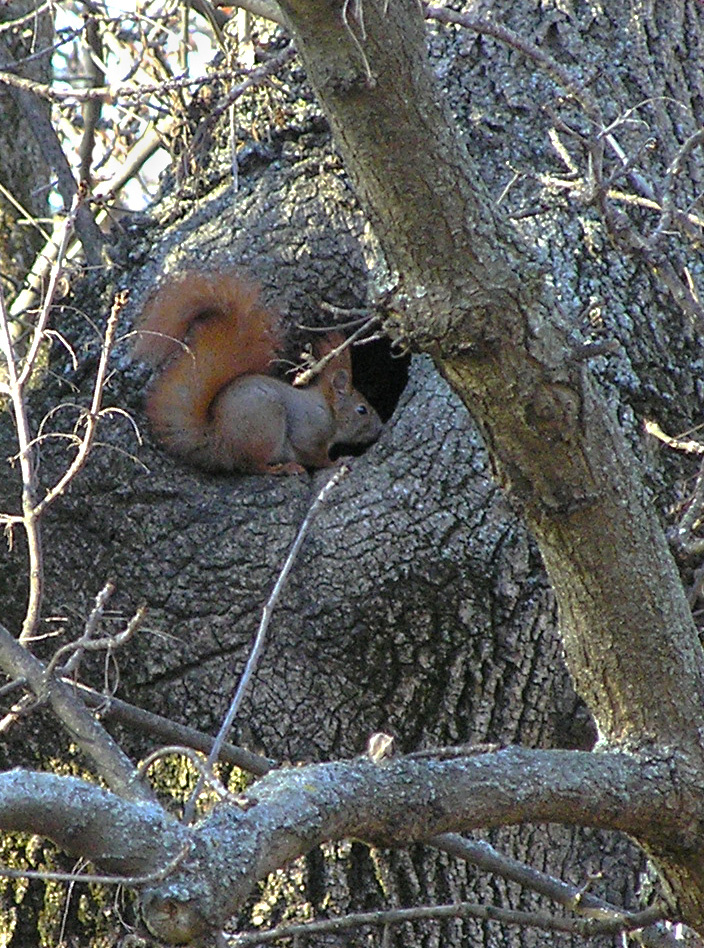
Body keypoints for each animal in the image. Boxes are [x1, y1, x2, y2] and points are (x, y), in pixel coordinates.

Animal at [132, 266, 384, 474]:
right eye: (362, 410)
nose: (380, 428)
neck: (328, 410)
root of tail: (219, 441)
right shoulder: (309, 433)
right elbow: (315, 456)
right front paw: (336, 462)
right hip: (266, 427)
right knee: (253, 465)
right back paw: (283, 468)